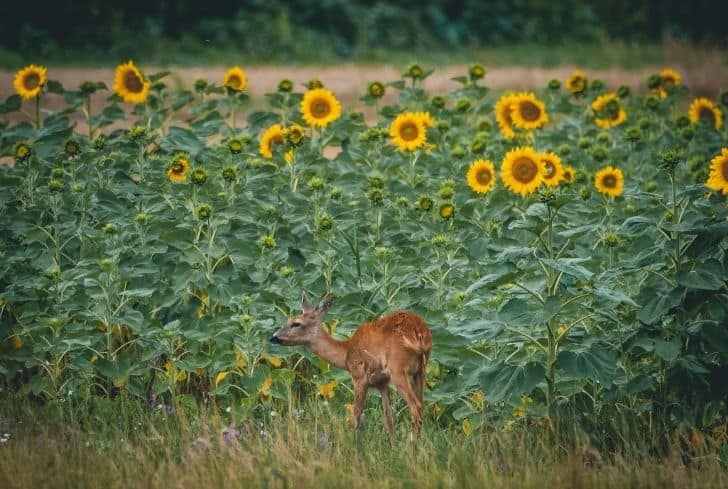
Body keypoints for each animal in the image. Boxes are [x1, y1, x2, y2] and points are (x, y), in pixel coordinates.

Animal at [272, 292, 432, 444]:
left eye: (296, 323)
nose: (273, 337)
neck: (346, 353)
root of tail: (418, 332)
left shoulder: (359, 376)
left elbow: (356, 416)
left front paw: (352, 445)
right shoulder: (382, 382)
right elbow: (388, 418)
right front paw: (393, 447)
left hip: (398, 368)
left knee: (416, 406)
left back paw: (412, 445)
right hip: (421, 369)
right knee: (421, 404)